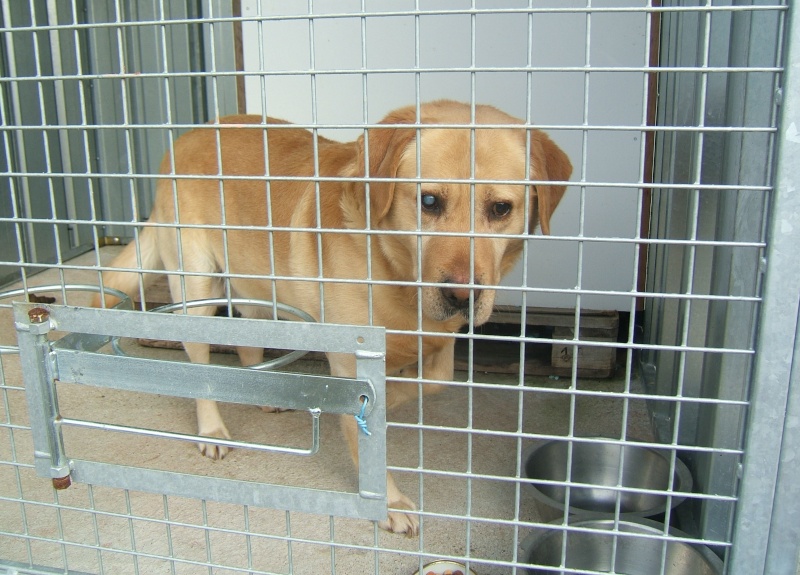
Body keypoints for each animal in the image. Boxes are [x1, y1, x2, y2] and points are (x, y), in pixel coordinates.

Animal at [94, 99, 568, 536]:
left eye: (501, 209)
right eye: (429, 201)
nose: (462, 296)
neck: (394, 272)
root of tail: (188, 136)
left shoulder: (440, 344)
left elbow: (429, 381)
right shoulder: (354, 361)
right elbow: (365, 414)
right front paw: (389, 498)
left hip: (258, 286)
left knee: (247, 338)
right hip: (196, 291)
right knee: (198, 364)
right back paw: (211, 429)